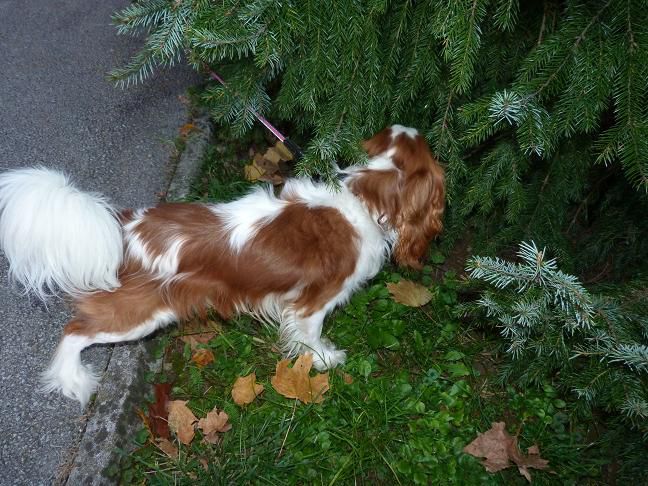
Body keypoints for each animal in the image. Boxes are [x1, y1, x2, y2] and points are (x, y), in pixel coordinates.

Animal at [0, 123, 442, 404]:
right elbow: (310, 335)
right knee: (75, 332)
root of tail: (123, 227)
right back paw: (71, 380)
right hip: (138, 314)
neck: (361, 194)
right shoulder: (313, 301)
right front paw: (322, 360)